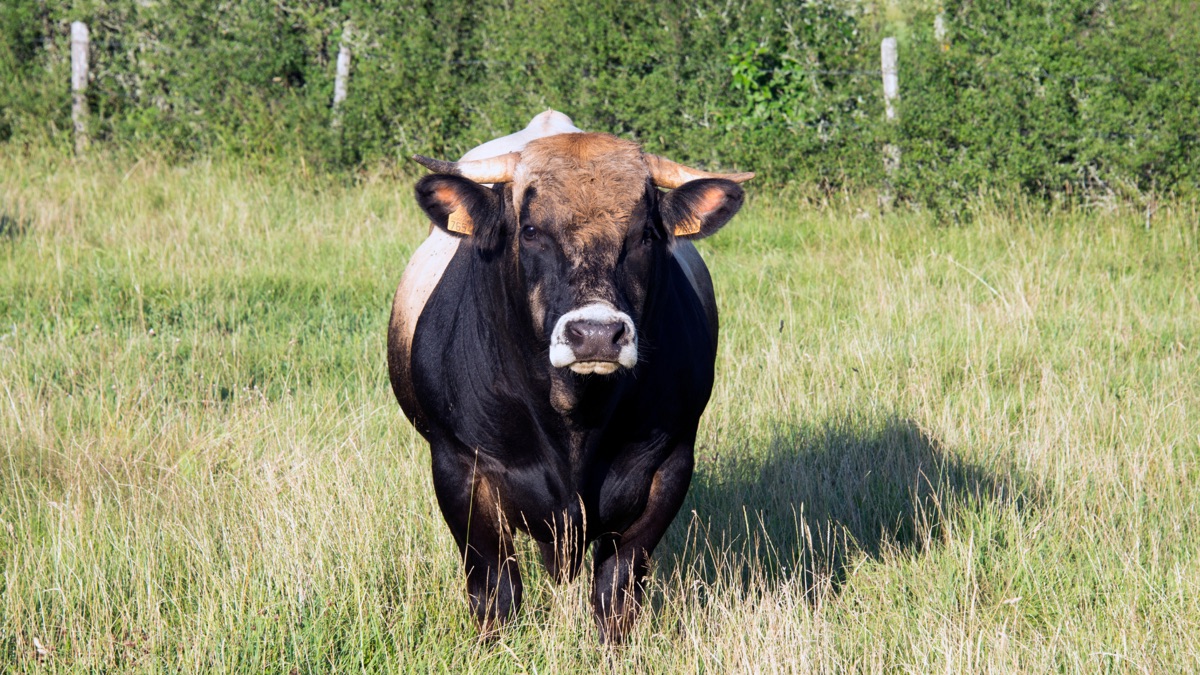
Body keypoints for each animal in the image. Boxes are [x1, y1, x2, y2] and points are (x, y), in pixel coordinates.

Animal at [387, 110, 752, 642]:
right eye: (530, 229)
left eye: (646, 234)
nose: (596, 334)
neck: (574, 417)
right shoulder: (457, 467)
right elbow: (494, 589)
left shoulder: (669, 466)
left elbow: (617, 588)